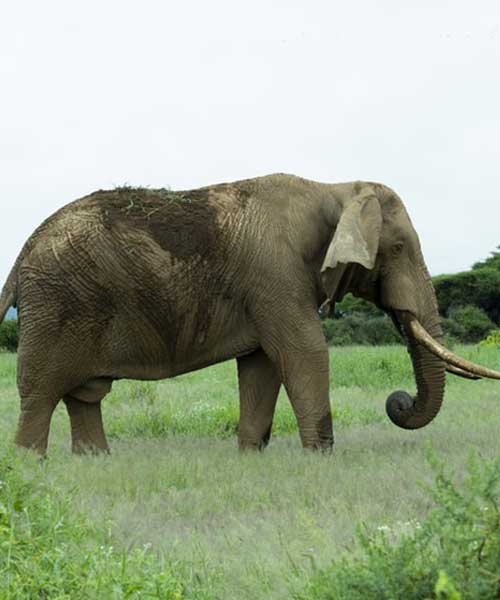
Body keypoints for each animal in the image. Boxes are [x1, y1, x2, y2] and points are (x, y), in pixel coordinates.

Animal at [0, 175, 500, 454]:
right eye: (396, 249)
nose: (398, 401)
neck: (334, 190)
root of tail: (23, 249)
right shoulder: (276, 275)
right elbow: (304, 354)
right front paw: (320, 458)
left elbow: (261, 366)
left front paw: (249, 457)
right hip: (57, 304)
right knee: (40, 395)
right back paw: (31, 467)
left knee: (84, 395)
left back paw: (95, 462)